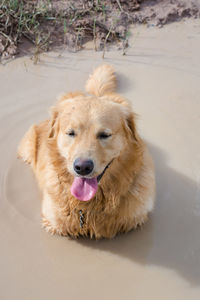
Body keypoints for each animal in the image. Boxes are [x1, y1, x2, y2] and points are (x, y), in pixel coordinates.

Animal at [17, 65, 155, 239]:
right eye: (71, 133)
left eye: (104, 135)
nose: (82, 167)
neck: (89, 205)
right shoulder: (53, 222)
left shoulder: (135, 219)